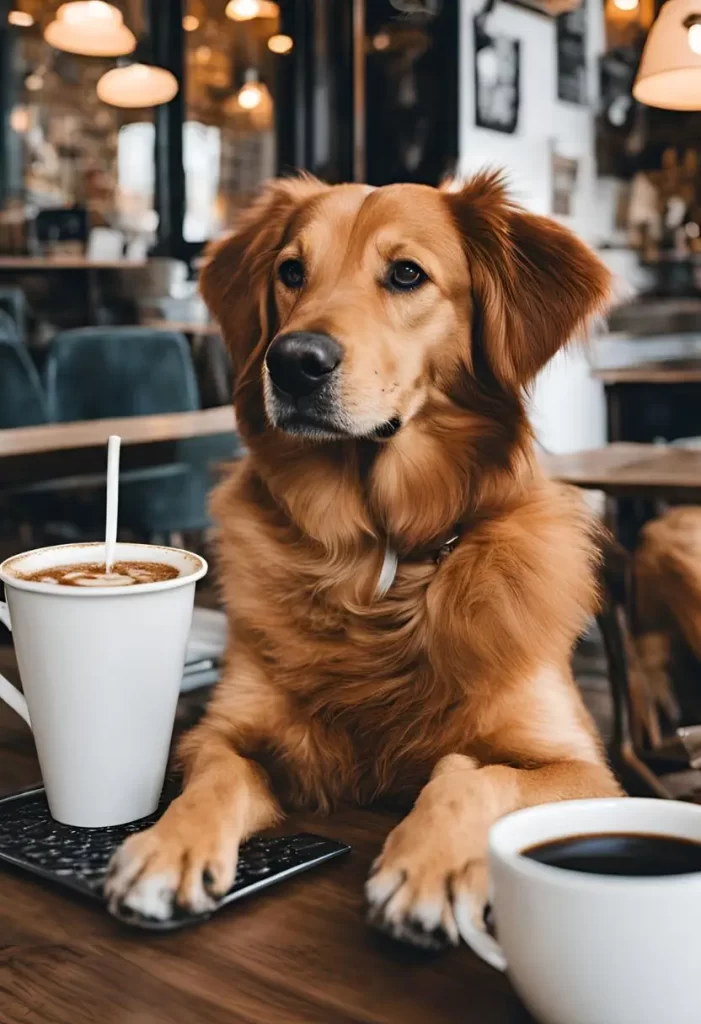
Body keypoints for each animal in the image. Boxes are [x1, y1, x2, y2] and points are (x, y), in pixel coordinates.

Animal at [106, 172, 622, 946]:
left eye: (406, 274)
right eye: (291, 272)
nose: (292, 361)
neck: (378, 559)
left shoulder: (582, 769)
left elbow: (473, 771)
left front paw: (428, 866)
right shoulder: (222, 733)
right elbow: (219, 777)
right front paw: (168, 847)